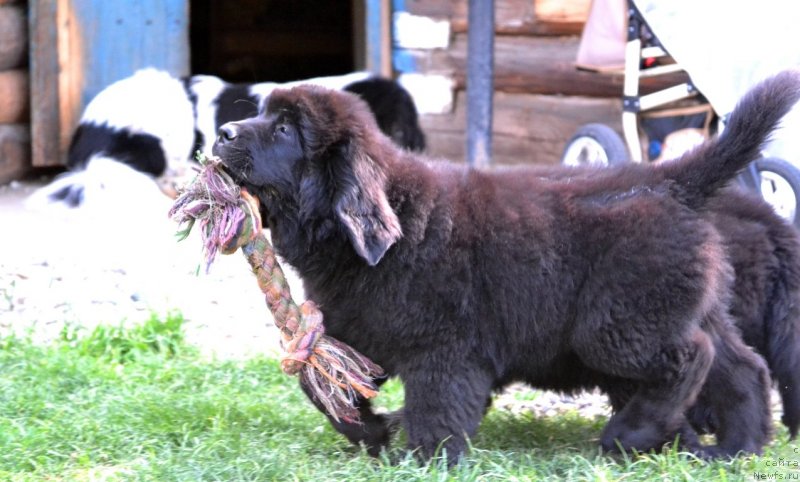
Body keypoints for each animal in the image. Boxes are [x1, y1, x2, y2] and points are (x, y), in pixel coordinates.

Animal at [212, 70, 800, 460]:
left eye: (285, 130)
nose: (222, 133)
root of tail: (669, 181)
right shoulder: (358, 332)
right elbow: (323, 390)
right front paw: (372, 432)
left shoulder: (444, 347)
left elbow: (438, 406)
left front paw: (425, 457)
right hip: (687, 305)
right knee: (744, 367)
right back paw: (737, 448)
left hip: (617, 324)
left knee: (690, 358)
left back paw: (630, 435)